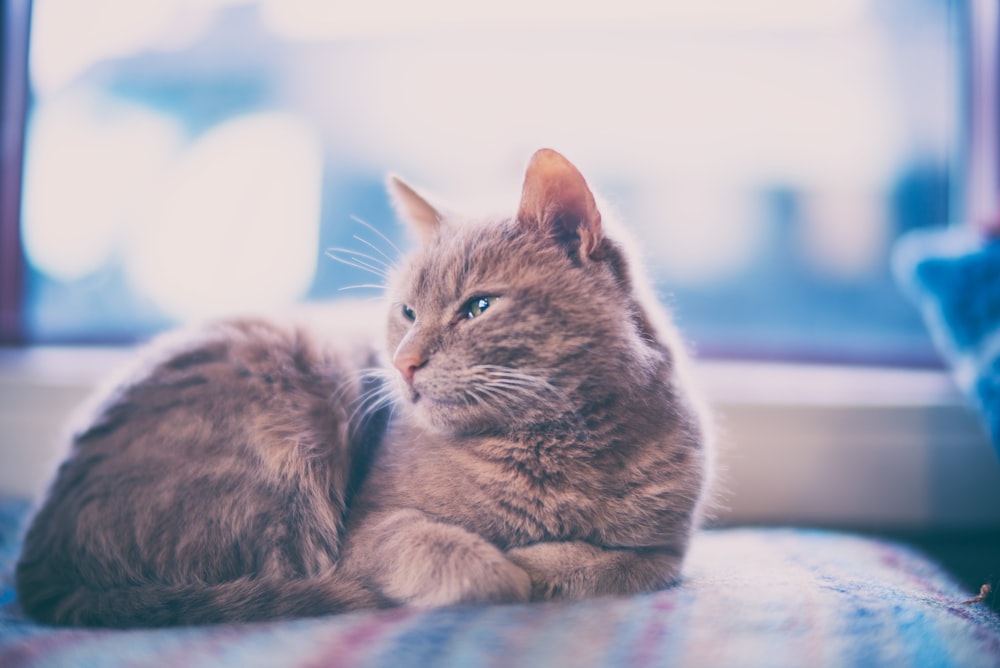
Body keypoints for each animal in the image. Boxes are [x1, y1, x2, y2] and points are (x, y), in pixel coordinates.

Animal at [11, 146, 708, 628]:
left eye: (478, 307)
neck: (550, 448)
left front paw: (546, 560)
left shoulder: (663, 551)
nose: (402, 363)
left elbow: (604, 563)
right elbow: (473, 566)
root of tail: (41, 566)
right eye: (406, 312)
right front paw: (506, 566)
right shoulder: (371, 530)